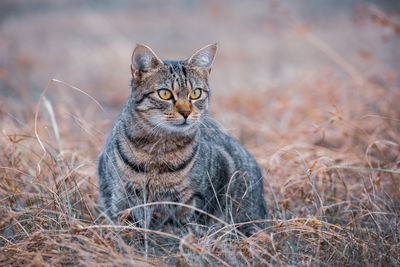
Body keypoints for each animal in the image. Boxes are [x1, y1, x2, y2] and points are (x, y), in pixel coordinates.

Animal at [97, 43, 268, 237]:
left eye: (196, 93)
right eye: (164, 94)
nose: (186, 112)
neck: (158, 149)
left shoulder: (195, 198)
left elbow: (185, 226)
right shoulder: (121, 197)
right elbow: (129, 228)